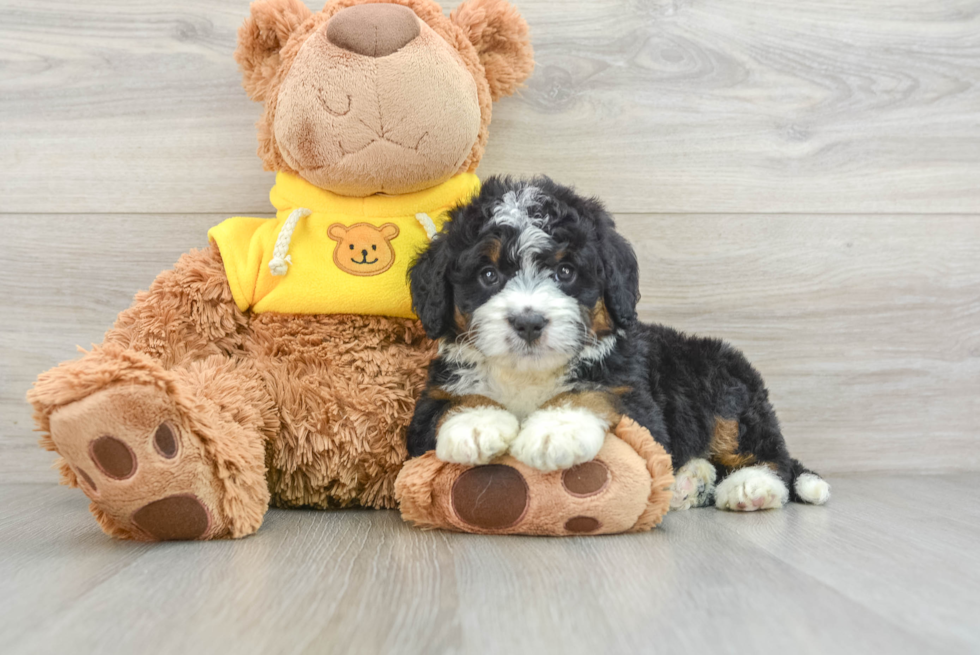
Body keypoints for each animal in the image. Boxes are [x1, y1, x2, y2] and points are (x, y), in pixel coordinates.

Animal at [406, 178, 828, 512]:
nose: (529, 322)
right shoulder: (426, 408)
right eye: (488, 275)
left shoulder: (637, 397)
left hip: (724, 391)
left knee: (771, 454)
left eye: (565, 271)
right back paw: (690, 482)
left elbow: (596, 394)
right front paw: (476, 423)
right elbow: (451, 403)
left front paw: (555, 429)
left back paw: (751, 486)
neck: (529, 374)